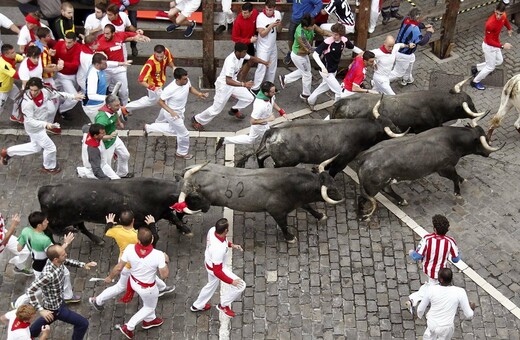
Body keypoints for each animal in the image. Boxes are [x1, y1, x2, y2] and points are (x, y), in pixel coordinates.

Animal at [37, 178, 210, 244]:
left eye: (199, 188)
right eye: (195, 197)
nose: (208, 205)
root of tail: (45, 188)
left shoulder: (161, 213)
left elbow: (174, 218)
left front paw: (186, 230)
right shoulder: (141, 222)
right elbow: (156, 235)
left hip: (78, 216)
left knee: (81, 226)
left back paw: (97, 240)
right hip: (56, 220)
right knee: (50, 230)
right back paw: (57, 242)